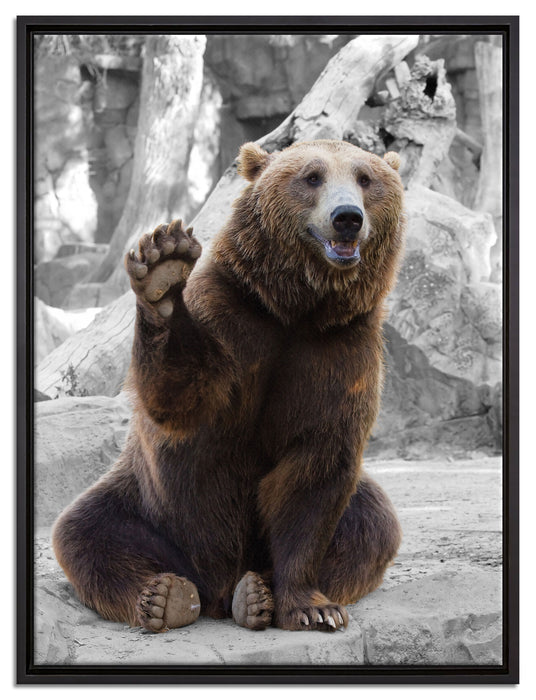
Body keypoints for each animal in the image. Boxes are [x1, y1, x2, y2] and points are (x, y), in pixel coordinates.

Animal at [52, 139, 405, 633]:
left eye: (365, 178)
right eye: (312, 176)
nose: (347, 217)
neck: (297, 309)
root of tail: (214, 588)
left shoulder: (341, 351)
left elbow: (316, 472)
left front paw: (313, 607)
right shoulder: (231, 317)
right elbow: (181, 398)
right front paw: (163, 269)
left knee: (372, 527)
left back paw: (254, 593)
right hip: (147, 504)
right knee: (86, 533)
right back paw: (165, 597)